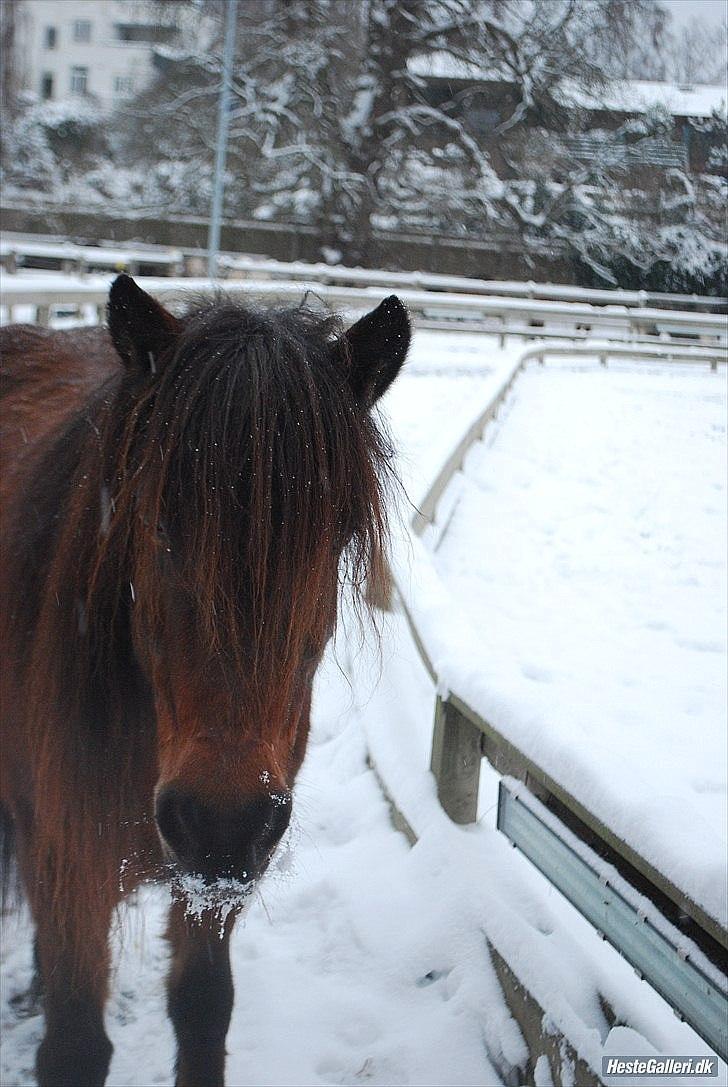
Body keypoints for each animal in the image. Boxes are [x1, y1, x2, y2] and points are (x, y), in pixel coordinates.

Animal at [0, 276, 408, 1082]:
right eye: (156, 523)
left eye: (332, 535)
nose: (221, 821)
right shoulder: (69, 866)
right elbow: (74, 1046)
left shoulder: (213, 886)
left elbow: (202, 1009)